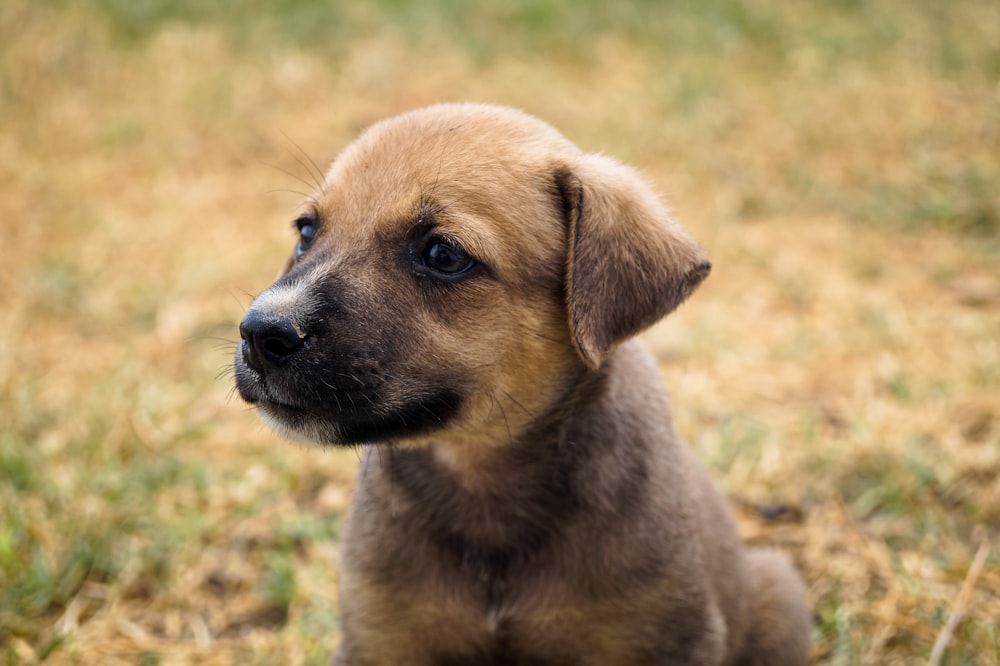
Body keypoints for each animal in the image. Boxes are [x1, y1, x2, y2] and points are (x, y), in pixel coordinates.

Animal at [234, 104, 812, 664]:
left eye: (443, 255)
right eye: (307, 233)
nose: (261, 333)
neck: (481, 483)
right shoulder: (381, 639)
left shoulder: (665, 639)